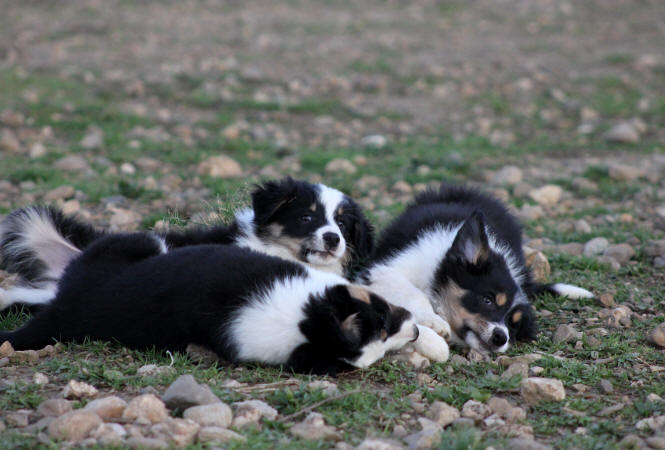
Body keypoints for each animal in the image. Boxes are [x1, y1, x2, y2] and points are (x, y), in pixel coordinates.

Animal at [360, 182, 592, 356]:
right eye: (487, 299)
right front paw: (434, 321)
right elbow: (414, 293)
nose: (501, 337)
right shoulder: (383, 270)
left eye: (513, 324)